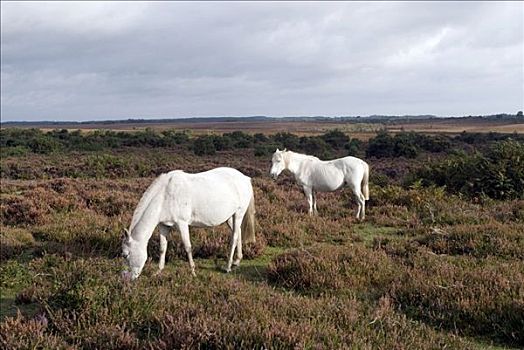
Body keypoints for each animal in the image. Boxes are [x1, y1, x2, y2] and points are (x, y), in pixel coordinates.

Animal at [121, 168, 256, 280]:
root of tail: (245, 178)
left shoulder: (182, 224)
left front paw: (193, 272)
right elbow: (162, 248)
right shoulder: (164, 226)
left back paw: (228, 266)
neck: (165, 195)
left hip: (238, 214)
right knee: (238, 232)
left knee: (234, 237)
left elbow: (188, 247)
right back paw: (236, 261)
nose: (125, 278)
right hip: (230, 218)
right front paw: (158, 271)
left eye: (126, 255)